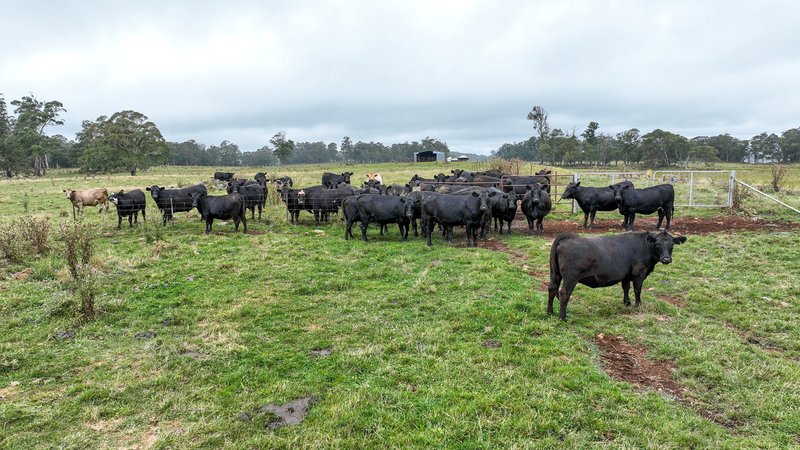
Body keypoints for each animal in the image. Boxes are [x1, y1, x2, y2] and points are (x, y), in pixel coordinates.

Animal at [552, 232, 688, 320]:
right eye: (658, 245)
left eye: (672, 246)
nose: (666, 259)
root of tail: (568, 237)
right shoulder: (639, 273)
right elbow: (637, 290)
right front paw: (638, 305)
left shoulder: (626, 275)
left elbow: (626, 288)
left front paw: (627, 303)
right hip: (571, 278)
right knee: (564, 293)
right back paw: (562, 318)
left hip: (556, 274)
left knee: (552, 288)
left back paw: (550, 313)